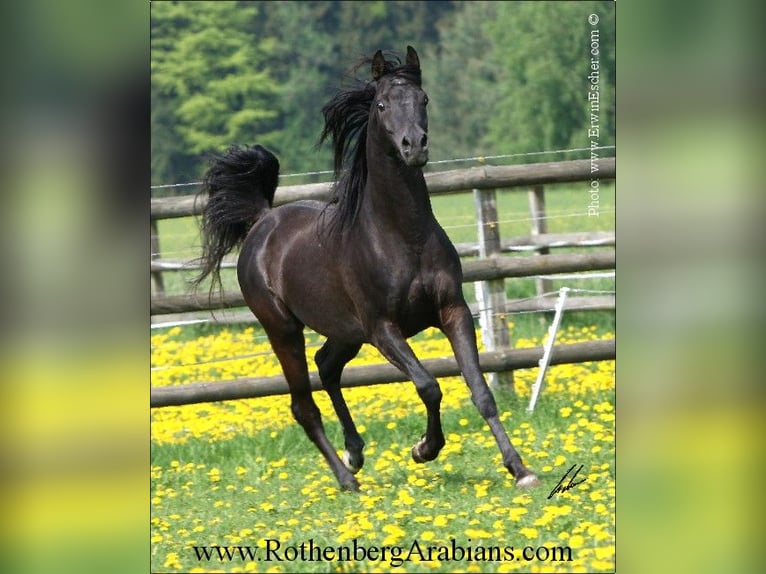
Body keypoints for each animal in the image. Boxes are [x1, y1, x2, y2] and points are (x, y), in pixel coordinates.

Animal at [194, 46, 539, 491]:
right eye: (381, 104)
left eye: (424, 99)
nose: (414, 146)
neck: (403, 236)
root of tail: (263, 221)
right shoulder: (383, 329)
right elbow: (428, 385)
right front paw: (424, 449)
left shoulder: (453, 312)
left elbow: (481, 390)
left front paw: (520, 470)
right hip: (284, 331)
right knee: (303, 406)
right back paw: (347, 480)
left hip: (344, 331)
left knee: (327, 366)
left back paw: (354, 454)